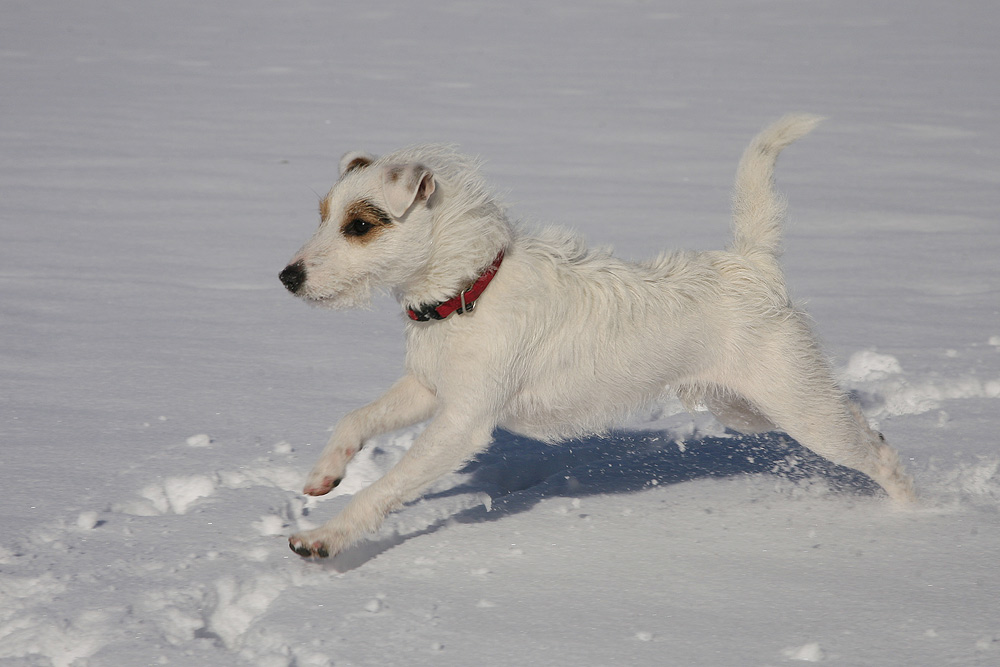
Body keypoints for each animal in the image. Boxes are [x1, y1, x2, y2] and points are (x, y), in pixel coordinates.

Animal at [280, 115, 916, 560]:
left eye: (359, 225)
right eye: (323, 215)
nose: (287, 277)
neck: (469, 289)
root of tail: (751, 265)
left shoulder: (462, 423)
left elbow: (388, 487)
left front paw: (327, 537)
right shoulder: (428, 389)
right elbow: (357, 418)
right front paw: (323, 475)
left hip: (797, 405)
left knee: (879, 454)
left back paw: (918, 520)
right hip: (746, 408)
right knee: (868, 429)